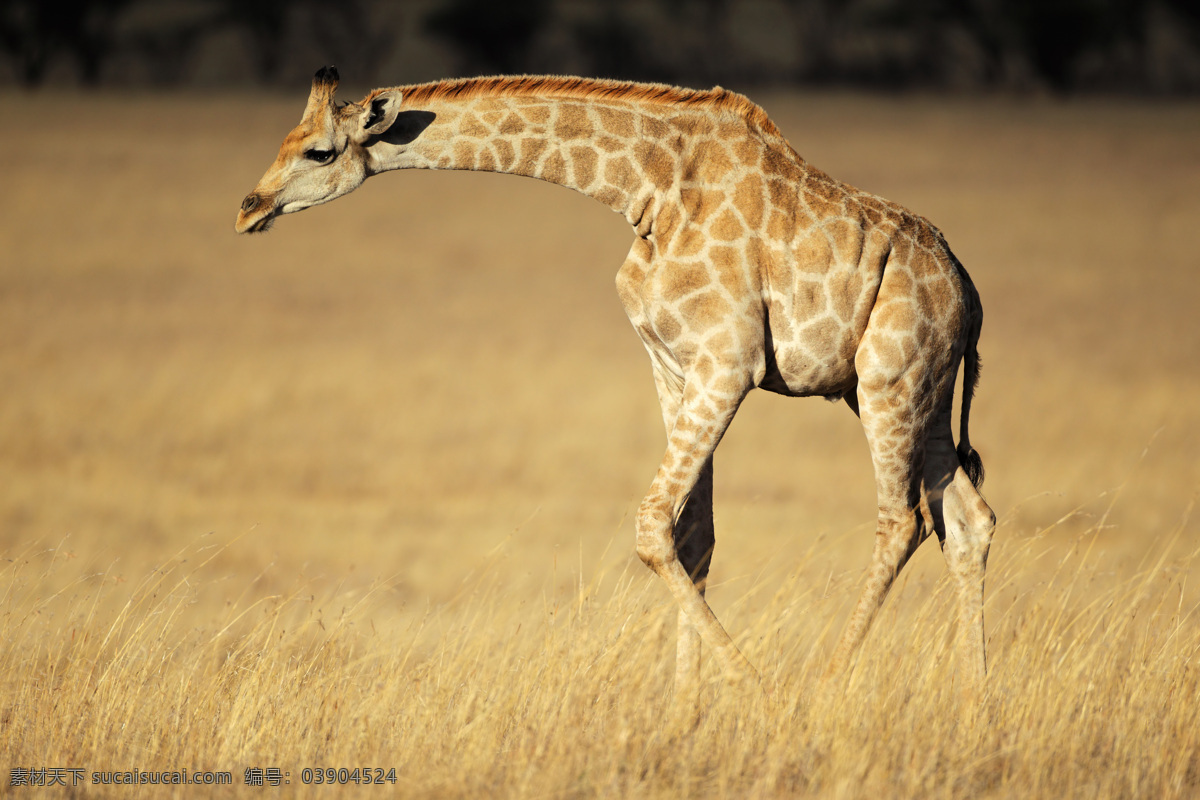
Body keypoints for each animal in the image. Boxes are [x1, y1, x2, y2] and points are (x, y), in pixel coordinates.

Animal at [238, 67, 998, 700]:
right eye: (286, 140)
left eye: (318, 152)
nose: (248, 207)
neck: (644, 188)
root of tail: (967, 286)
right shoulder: (672, 364)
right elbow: (693, 536)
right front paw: (685, 714)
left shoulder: (730, 362)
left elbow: (652, 526)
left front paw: (752, 691)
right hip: (918, 392)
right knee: (967, 519)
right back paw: (976, 706)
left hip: (889, 380)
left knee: (902, 520)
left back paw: (828, 688)